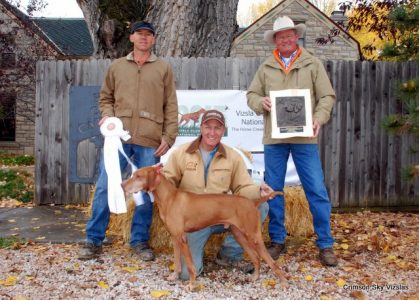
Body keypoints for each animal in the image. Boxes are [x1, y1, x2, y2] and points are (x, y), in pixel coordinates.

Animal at [121, 164, 288, 290]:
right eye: (133, 174)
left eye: (138, 176)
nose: (122, 185)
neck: (169, 198)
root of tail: (252, 202)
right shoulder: (174, 237)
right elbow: (177, 261)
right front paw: (174, 276)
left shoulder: (182, 238)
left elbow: (190, 266)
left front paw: (191, 284)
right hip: (239, 235)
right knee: (256, 258)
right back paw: (255, 277)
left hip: (253, 236)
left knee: (271, 262)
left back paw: (284, 282)